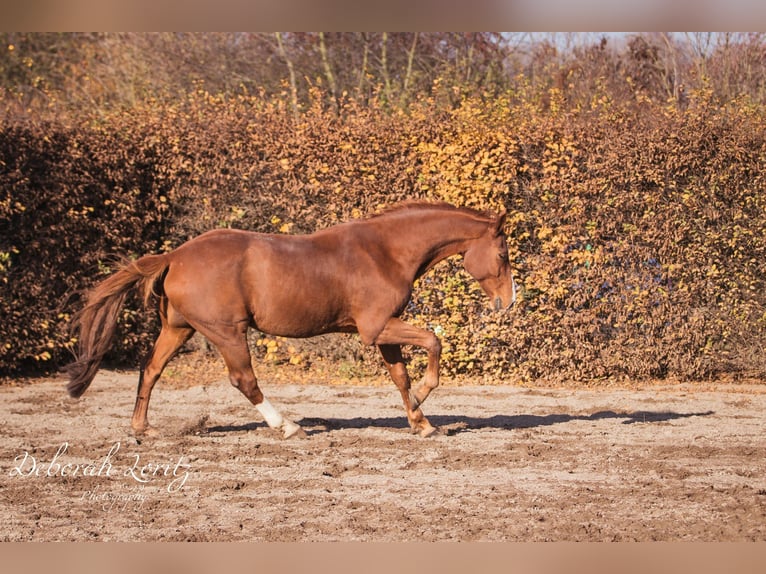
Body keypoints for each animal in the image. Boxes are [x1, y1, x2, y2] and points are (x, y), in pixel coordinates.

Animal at [65, 201, 517, 438]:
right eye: (503, 254)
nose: (507, 302)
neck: (385, 252)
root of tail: (175, 255)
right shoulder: (376, 328)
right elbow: (433, 342)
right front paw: (424, 398)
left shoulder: (384, 330)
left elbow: (401, 377)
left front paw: (421, 423)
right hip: (227, 333)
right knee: (244, 380)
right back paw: (287, 427)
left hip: (179, 329)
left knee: (151, 369)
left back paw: (142, 429)